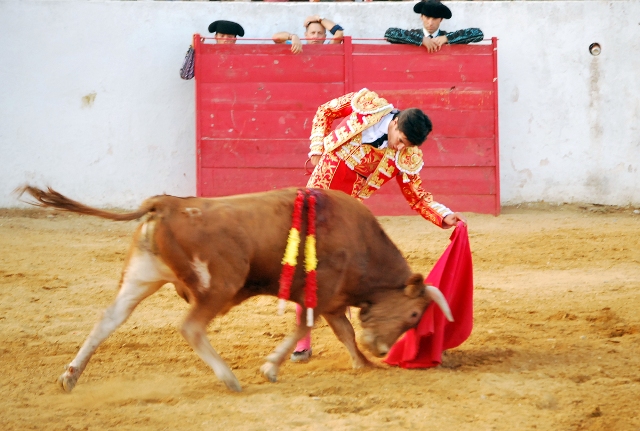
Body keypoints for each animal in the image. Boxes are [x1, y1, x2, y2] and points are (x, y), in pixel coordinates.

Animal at [18, 187, 450, 394]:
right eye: (414, 314)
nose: (383, 348)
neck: (361, 241)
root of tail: (165, 204)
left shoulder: (331, 300)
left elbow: (341, 331)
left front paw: (362, 363)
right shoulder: (321, 294)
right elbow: (306, 327)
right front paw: (270, 367)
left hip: (142, 276)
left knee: (108, 319)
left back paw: (70, 377)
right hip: (219, 285)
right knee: (191, 326)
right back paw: (228, 379)